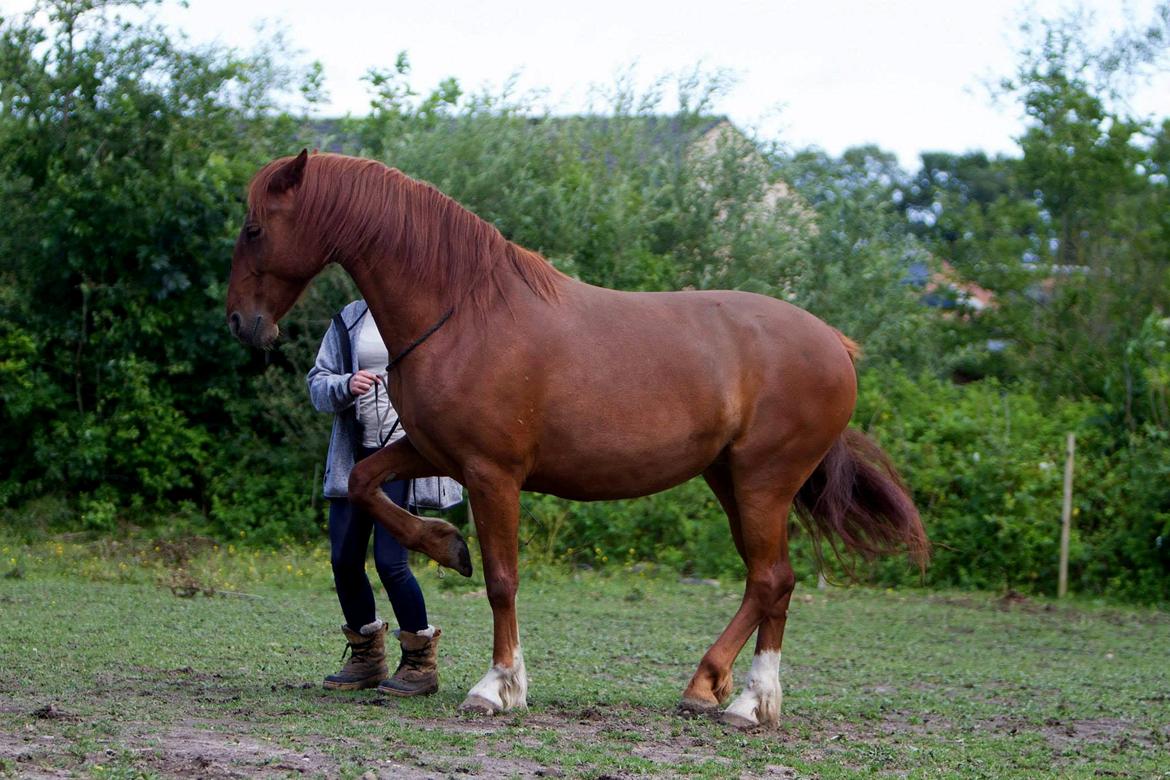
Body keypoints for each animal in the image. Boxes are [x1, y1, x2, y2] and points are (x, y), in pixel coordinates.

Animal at [223, 150, 926, 725]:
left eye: (255, 228)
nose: (240, 323)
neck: (465, 311)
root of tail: (833, 344)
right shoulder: (431, 452)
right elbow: (366, 483)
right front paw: (447, 545)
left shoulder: (492, 474)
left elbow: (501, 578)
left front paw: (498, 686)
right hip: (730, 479)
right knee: (766, 581)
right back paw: (713, 689)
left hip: (763, 481)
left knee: (773, 580)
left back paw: (748, 703)